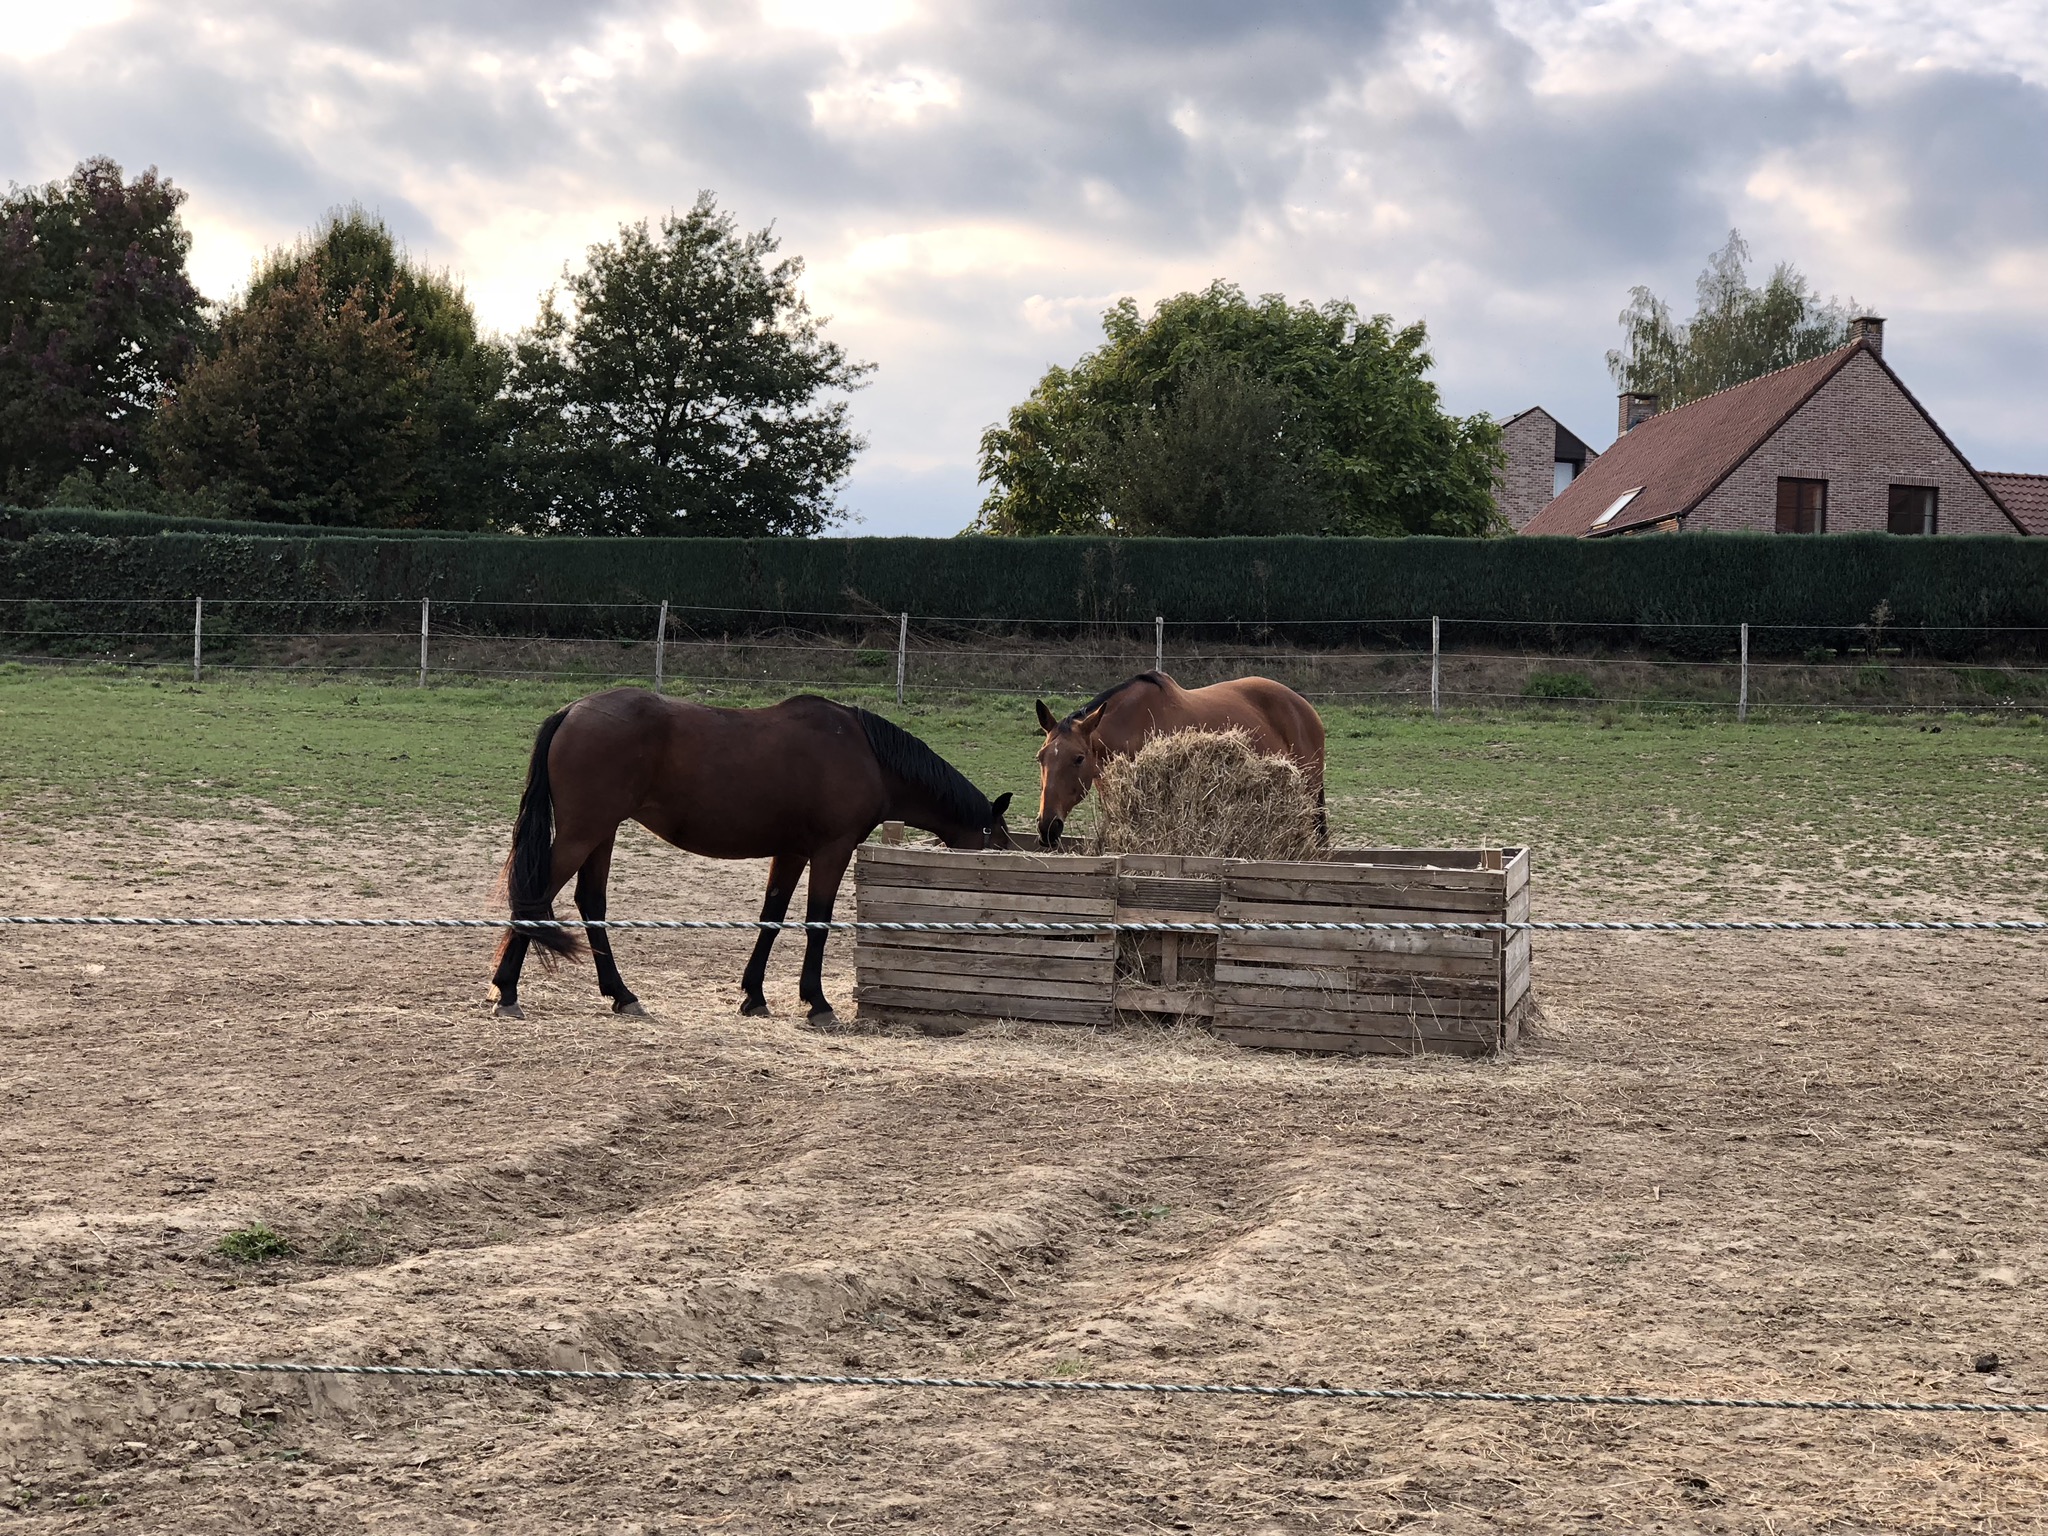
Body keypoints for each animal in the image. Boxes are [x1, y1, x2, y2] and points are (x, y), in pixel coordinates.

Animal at [490, 689, 1014, 1023]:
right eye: (998, 844)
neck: (866, 754)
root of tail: (571, 710)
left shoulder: (792, 852)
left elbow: (772, 919)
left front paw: (754, 997)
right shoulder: (833, 849)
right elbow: (817, 922)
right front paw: (818, 1003)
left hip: (601, 833)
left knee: (590, 902)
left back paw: (621, 995)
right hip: (584, 832)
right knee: (536, 897)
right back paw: (507, 991)